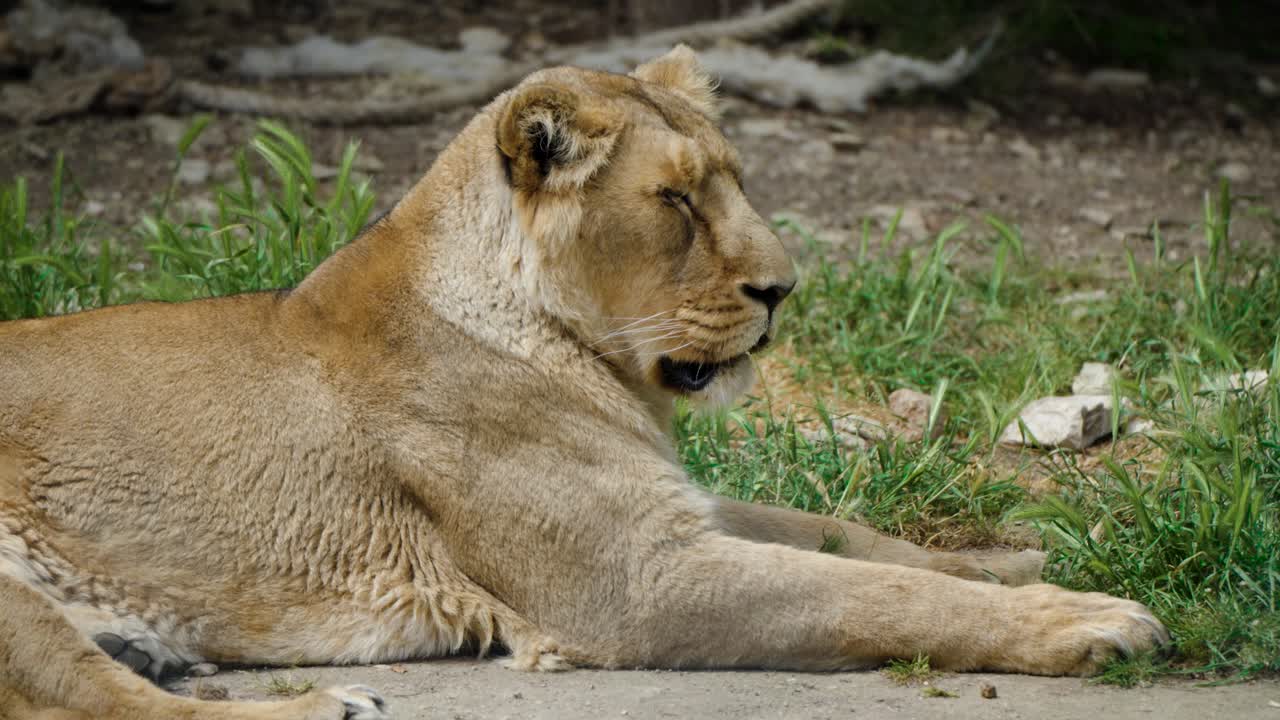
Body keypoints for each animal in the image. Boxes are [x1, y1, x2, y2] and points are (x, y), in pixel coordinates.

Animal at [0, 47, 1167, 719]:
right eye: (677, 201)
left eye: (735, 182)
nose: (784, 290)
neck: (598, 363)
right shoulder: (634, 583)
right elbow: (871, 593)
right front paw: (1088, 621)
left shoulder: (671, 507)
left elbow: (861, 542)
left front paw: (1038, 554)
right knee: (114, 709)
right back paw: (324, 703)